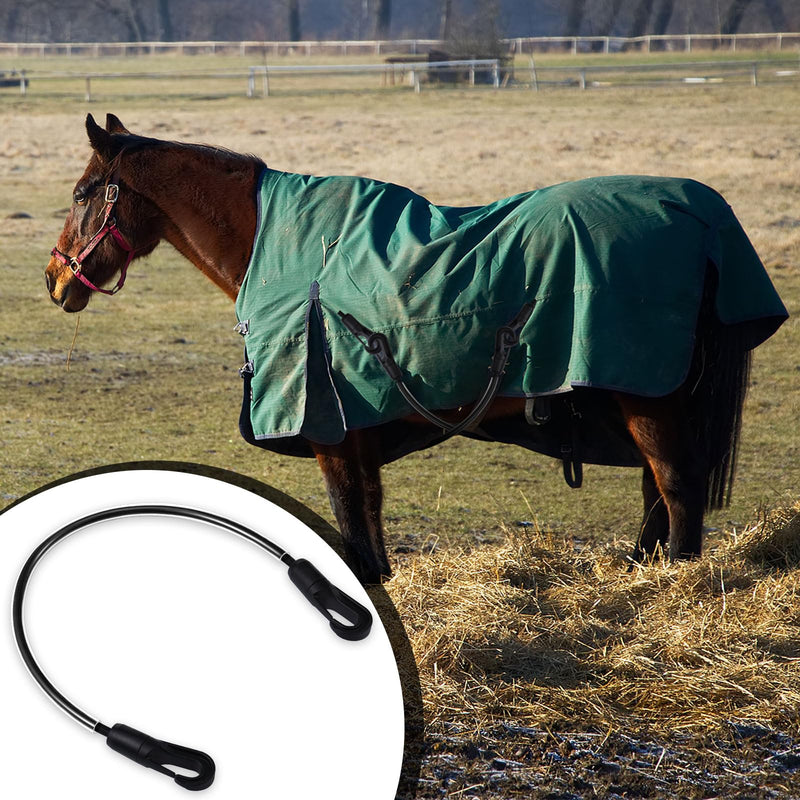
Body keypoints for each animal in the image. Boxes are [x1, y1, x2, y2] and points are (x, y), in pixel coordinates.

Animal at [45, 114, 787, 584]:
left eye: (82, 193)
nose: (55, 278)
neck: (281, 248)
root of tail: (699, 216)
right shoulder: (357, 431)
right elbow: (369, 520)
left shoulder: (331, 430)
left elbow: (353, 524)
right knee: (657, 488)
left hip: (647, 397)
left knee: (677, 486)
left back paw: (674, 581)